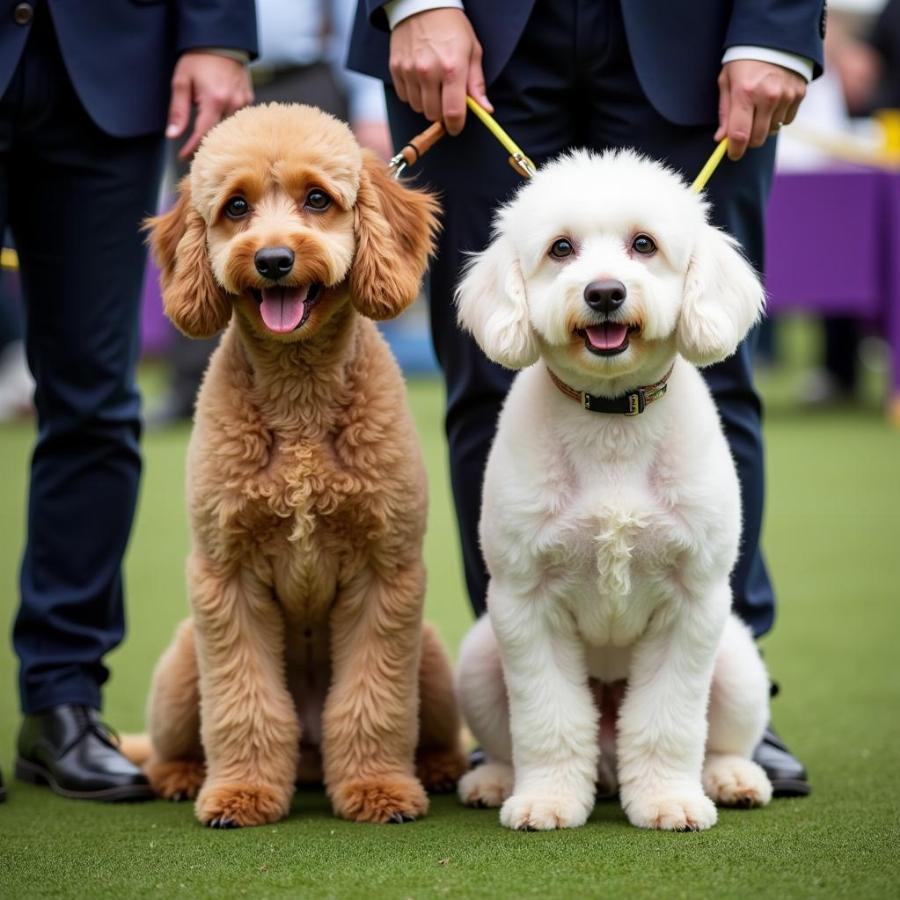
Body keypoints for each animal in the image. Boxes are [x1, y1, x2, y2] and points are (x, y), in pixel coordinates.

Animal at [130, 103, 468, 828]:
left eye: (318, 199)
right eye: (235, 207)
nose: (274, 258)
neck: (301, 397)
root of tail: (311, 760)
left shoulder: (386, 575)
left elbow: (374, 701)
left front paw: (379, 789)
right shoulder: (224, 580)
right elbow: (243, 705)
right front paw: (240, 794)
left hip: (431, 662)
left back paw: (438, 767)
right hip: (180, 668)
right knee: (173, 742)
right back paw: (180, 776)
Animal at [458, 151, 772, 832]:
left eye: (644, 244)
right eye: (561, 248)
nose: (604, 292)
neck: (610, 423)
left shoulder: (692, 604)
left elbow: (669, 722)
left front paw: (669, 801)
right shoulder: (525, 604)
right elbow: (547, 720)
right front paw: (546, 800)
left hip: (737, 663)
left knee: (722, 737)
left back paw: (732, 777)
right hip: (478, 657)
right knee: (509, 740)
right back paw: (495, 780)